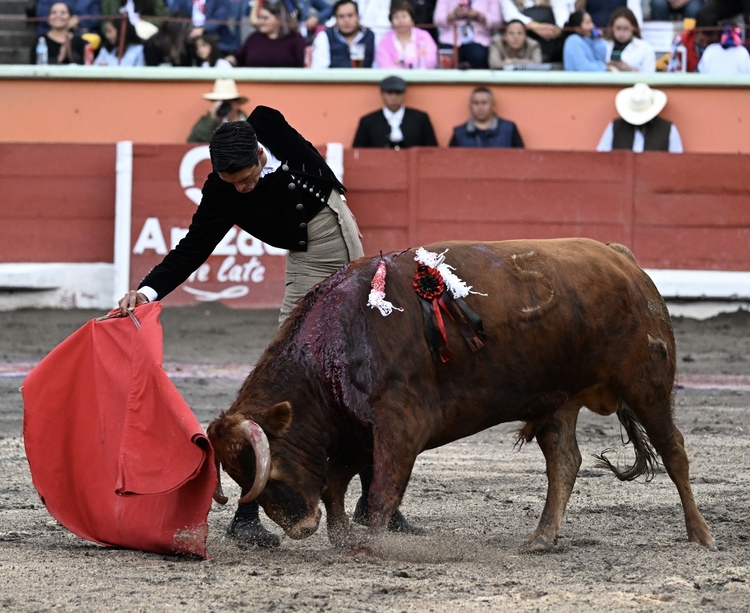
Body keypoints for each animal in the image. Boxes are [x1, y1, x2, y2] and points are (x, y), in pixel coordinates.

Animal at [207, 238, 715, 552]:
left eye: (270, 471)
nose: (299, 529)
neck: (337, 343)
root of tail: (620, 258)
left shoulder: (398, 428)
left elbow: (380, 492)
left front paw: (366, 546)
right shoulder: (353, 434)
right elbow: (335, 487)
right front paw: (342, 539)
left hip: (647, 385)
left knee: (674, 451)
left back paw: (700, 534)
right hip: (560, 399)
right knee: (565, 461)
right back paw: (541, 538)